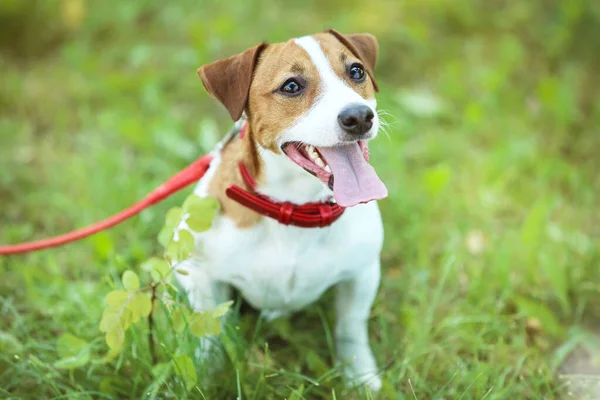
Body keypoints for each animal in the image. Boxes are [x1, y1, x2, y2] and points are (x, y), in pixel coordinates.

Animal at [173, 28, 390, 390]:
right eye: (291, 86)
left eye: (356, 71)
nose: (359, 116)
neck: (295, 208)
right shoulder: (202, 275)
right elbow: (210, 331)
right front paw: (208, 372)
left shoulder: (361, 273)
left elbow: (350, 328)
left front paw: (359, 375)